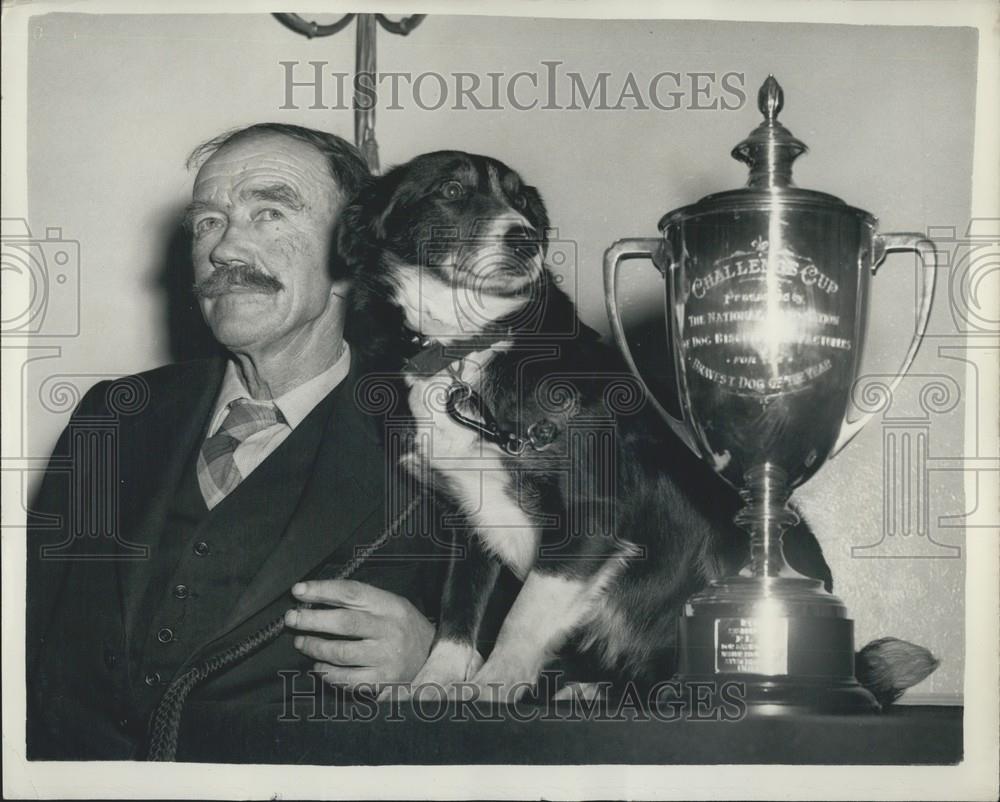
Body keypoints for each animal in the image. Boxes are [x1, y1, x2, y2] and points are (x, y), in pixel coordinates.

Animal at [336, 150, 936, 700]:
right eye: (452, 191)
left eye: (523, 201)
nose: (526, 241)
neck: (468, 347)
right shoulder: (467, 519)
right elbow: (460, 612)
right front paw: (429, 686)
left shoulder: (590, 515)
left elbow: (521, 615)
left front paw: (494, 685)